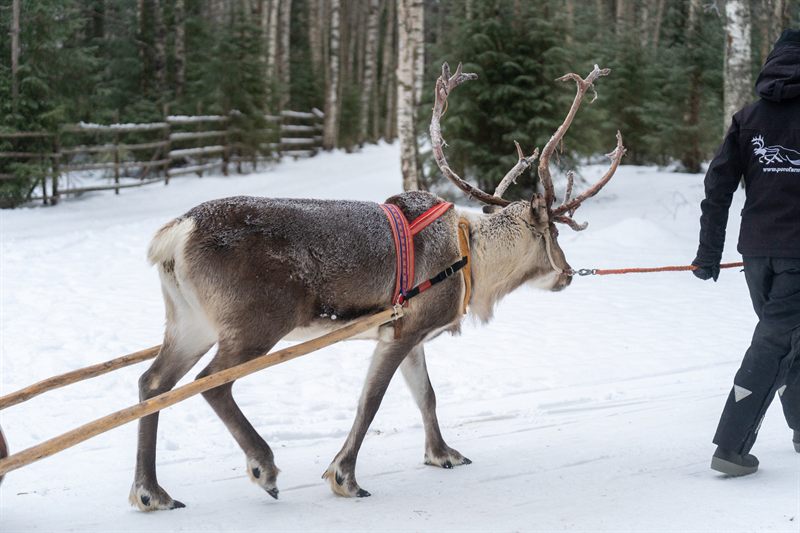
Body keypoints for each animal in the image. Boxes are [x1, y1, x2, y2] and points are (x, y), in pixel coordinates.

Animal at [130, 62, 625, 511]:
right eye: (555, 234)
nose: (568, 272)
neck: (471, 257)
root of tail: (176, 233)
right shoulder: (401, 332)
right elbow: (370, 402)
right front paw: (345, 477)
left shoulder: (410, 333)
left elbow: (426, 395)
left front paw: (442, 454)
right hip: (255, 325)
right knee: (210, 383)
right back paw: (262, 468)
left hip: (190, 323)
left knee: (152, 382)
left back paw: (151, 492)